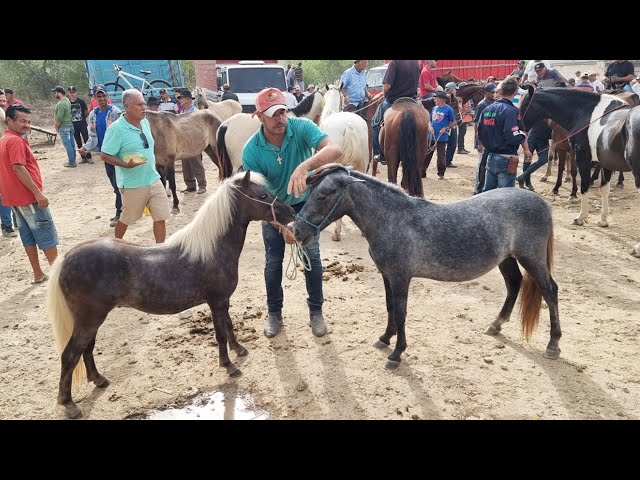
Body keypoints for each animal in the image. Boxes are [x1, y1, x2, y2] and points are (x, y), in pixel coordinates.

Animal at [296, 165, 560, 372]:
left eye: (323, 196)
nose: (296, 230)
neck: (393, 220)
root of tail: (542, 204)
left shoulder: (401, 277)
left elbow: (400, 313)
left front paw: (396, 354)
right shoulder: (387, 275)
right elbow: (390, 307)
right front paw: (385, 338)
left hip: (532, 258)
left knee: (550, 291)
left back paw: (553, 345)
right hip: (507, 258)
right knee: (514, 284)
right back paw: (496, 325)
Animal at [520, 87, 640, 256]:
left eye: (524, 104)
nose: (519, 128)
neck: (586, 113)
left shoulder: (583, 158)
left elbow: (583, 186)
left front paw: (580, 217)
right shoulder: (606, 163)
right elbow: (604, 189)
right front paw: (603, 220)